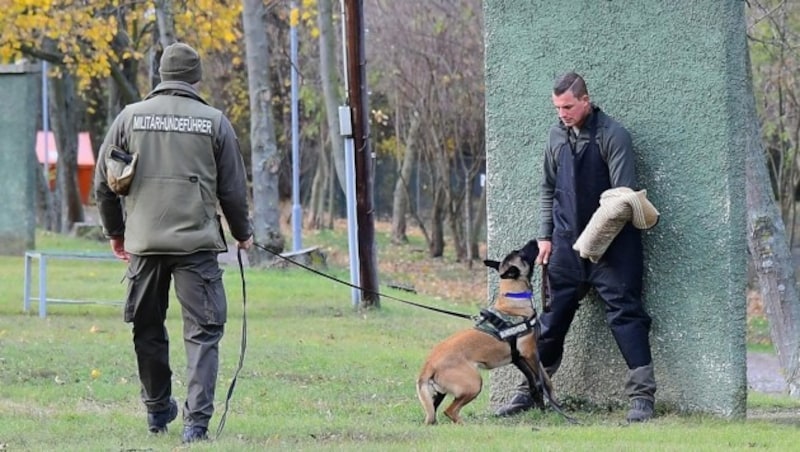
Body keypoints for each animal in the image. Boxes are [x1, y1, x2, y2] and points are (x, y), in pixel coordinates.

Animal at [416, 240, 552, 424]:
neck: (513, 297)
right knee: (450, 411)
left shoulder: (519, 359)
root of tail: (429, 364)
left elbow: (539, 382)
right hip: (474, 383)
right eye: (522, 253)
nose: (535, 241)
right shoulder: (530, 353)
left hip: (439, 393)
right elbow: (541, 381)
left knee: (434, 413)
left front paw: (543, 405)